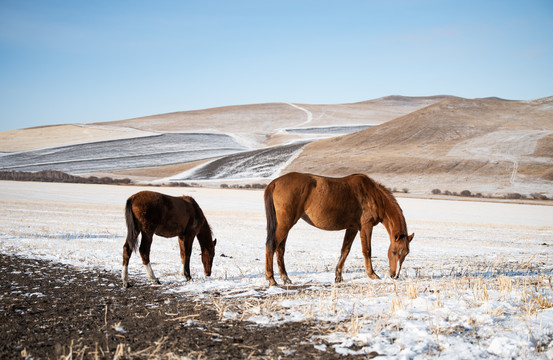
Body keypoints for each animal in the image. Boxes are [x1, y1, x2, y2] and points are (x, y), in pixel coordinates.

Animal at [266, 172, 412, 286]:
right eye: (394, 252)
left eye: (405, 254)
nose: (394, 275)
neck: (373, 195)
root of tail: (275, 182)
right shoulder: (366, 226)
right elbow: (367, 250)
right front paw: (372, 274)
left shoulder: (353, 228)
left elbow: (345, 251)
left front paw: (338, 277)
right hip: (285, 224)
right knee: (272, 245)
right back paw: (272, 279)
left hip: (286, 225)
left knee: (280, 249)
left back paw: (286, 279)